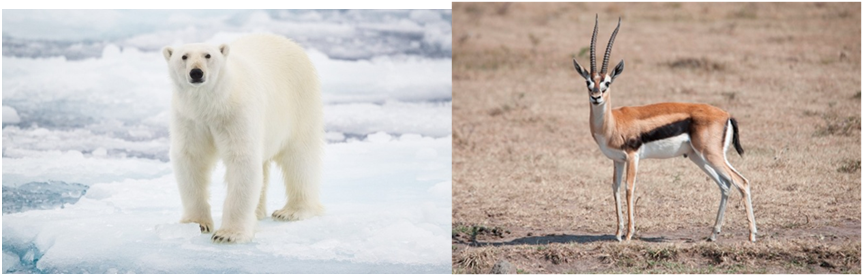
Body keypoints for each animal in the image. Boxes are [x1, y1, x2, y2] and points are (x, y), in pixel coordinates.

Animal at [161, 33, 324, 243]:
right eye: (184, 56)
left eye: (208, 55)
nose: (196, 72)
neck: (213, 105)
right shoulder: (190, 118)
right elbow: (191, 158)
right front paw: (196, 223)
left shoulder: (236, 114)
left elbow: (242, 160)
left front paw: (228, 234)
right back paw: (259, 212)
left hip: (300, 102)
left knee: (300, 158)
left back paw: (292, 211)